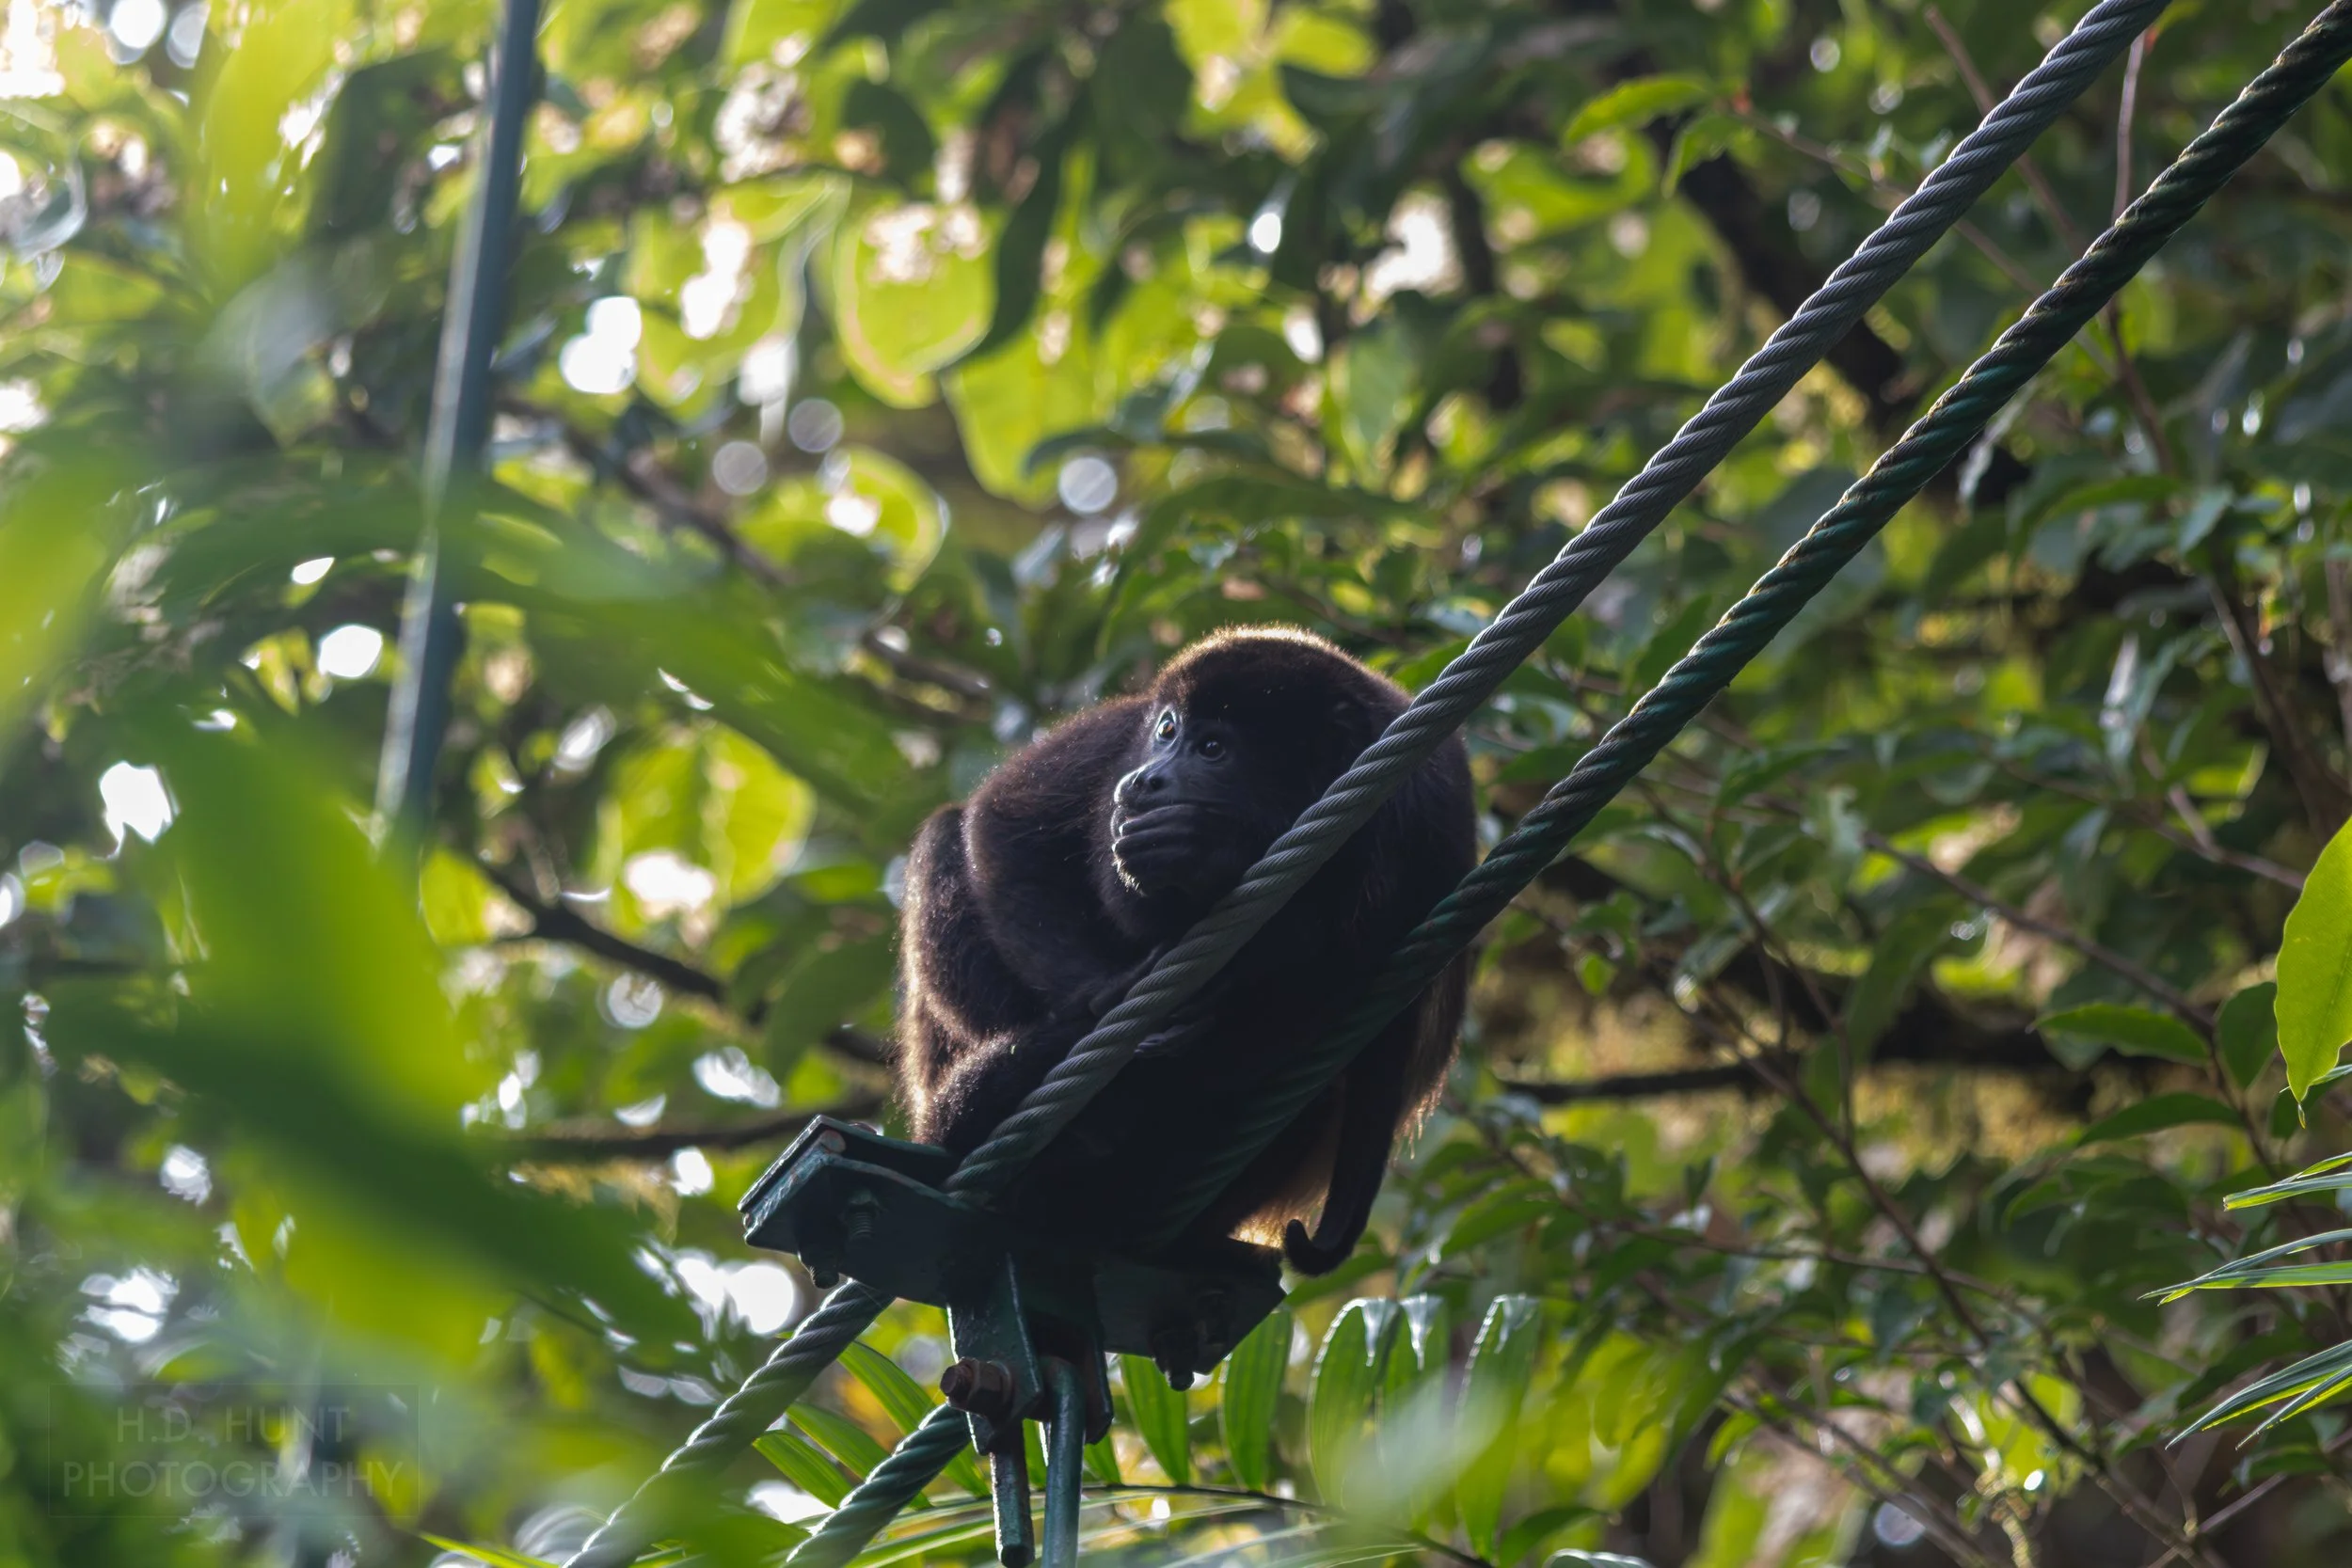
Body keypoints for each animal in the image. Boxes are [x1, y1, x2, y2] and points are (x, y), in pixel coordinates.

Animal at [895, 626, 1475, 1275]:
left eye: (1214, 749)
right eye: (1168, 730)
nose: (1145, 781)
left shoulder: (1427, 824)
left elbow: (1324, 998)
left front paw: (1209, 851)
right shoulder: (1114, 740)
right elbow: (1005, 828)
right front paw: (1108, 993)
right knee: (944, 837)